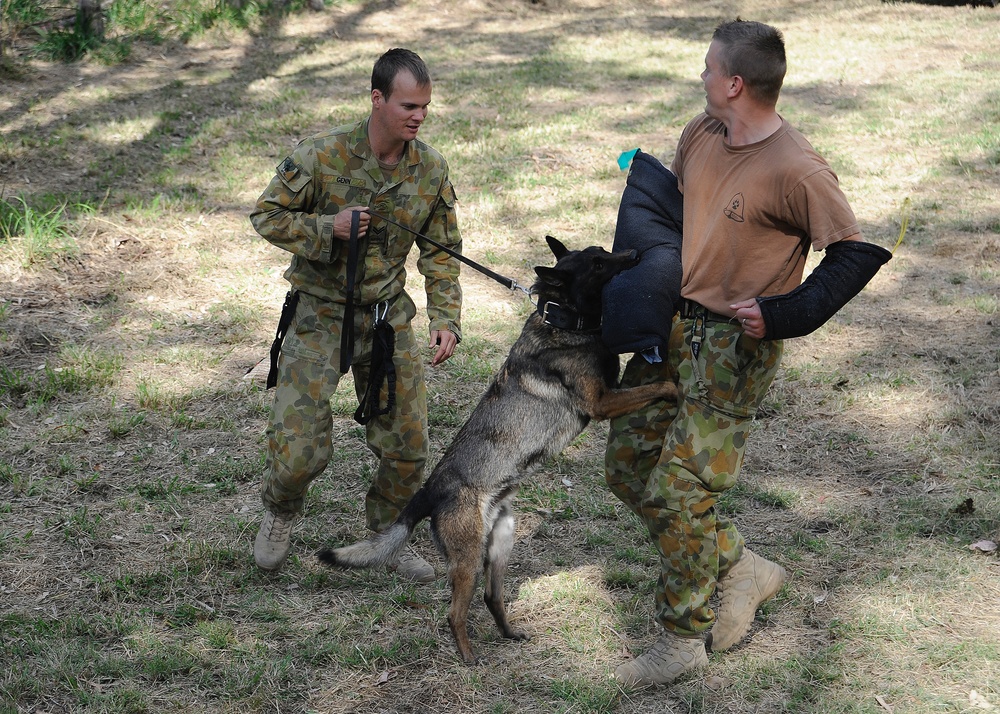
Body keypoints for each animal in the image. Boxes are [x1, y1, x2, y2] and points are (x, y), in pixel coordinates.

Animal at [318, 235, 680, 660]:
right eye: (598, 265)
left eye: (602, 252)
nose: (635, 255)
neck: (561, 321)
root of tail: (429, 491)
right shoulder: (602, 402)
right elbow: (657, 386)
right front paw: (677, 386)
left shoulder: (611, 390)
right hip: (469, 559)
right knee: (455, 612)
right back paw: (468, 656)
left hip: (502, 543)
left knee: (492, 597)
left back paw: (509, 633)